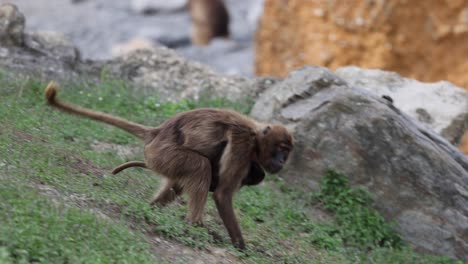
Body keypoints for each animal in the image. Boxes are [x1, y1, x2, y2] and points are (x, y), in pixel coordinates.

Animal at [44, 82, 292, 250]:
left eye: (287, 151)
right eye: (280, 148)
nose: (281, 161)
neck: (256, 136)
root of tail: (157, 132)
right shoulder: (242, 144)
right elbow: (222, 194)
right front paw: (241, 247)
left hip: (163, 159)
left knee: (183, 180)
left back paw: (152, 209)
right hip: (163, 154)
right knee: (201, 166)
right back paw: (193, 224)